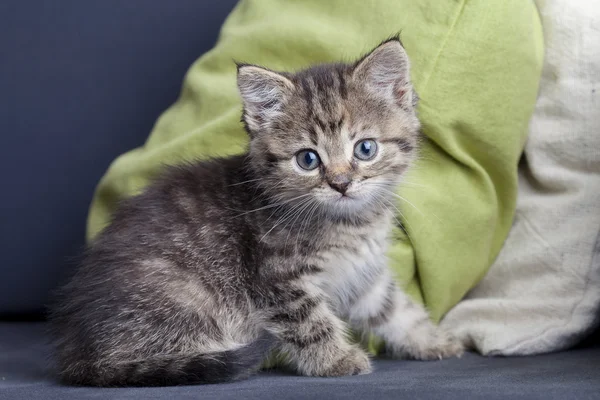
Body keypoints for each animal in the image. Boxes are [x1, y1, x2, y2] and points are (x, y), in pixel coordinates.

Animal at [51, 37, 464, 388]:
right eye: (307, 159)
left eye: (365, 149)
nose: (341, 183)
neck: (351, 224)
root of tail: (79, 353)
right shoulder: (277, 277)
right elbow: (311, 322)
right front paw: (336, 360)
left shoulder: (364, 273)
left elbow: (395, 308)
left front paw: (431, 339)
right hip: (185, 297)